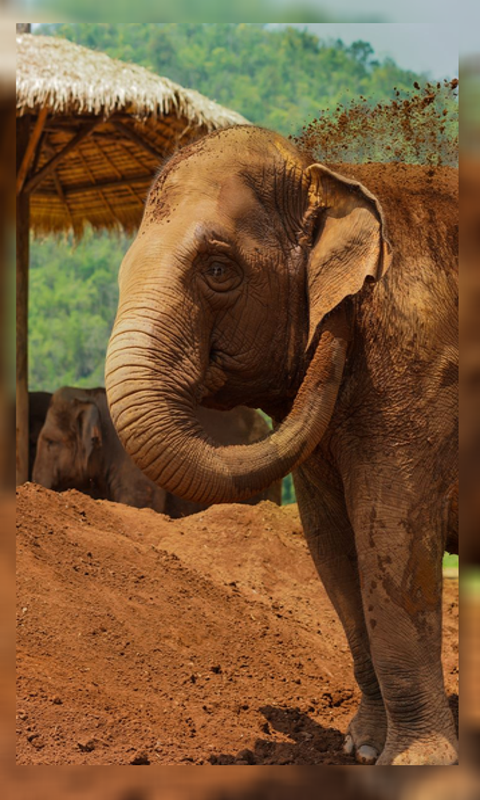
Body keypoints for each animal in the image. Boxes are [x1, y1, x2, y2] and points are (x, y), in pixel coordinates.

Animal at [105, 125, 458, 766]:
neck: (333, 175)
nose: (334, 322)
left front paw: (416, 766)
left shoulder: (421, 375)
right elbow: (335, 549)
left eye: (218, 268)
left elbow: (392, 537)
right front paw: (360, 750)